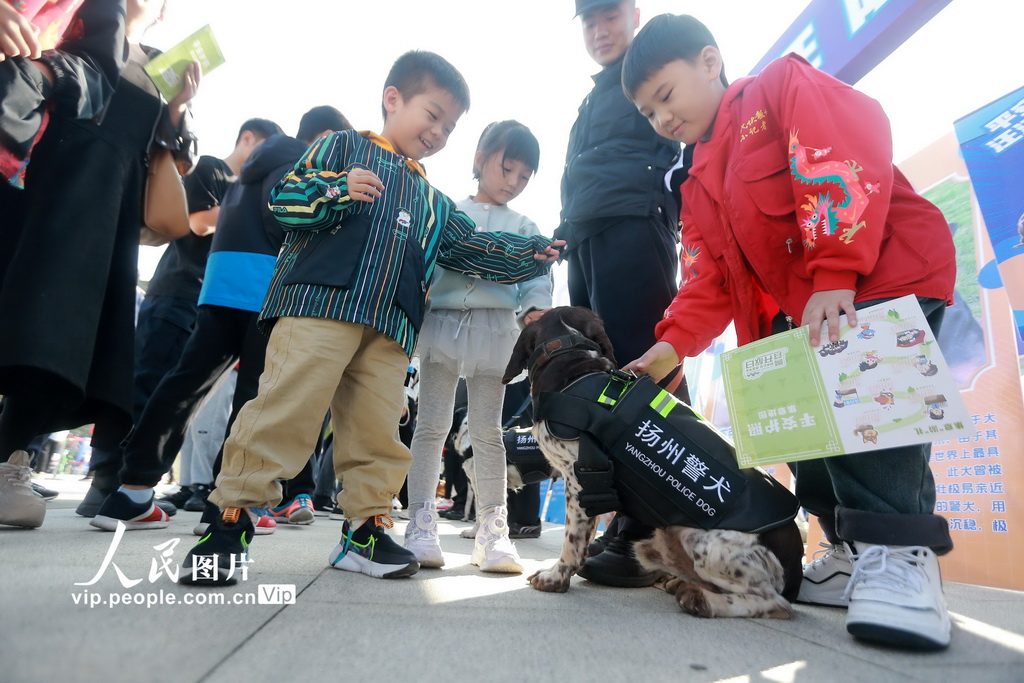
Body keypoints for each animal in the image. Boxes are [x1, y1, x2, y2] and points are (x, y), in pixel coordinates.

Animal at [499, 309, 802, 618]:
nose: (527, 310)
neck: (573, 359)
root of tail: (796, 567)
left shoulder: (579, 479)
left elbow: (572, 542)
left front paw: (554, 577)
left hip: (699, 538)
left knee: (774, 603)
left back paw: (701, 600)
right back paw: (681, 583)